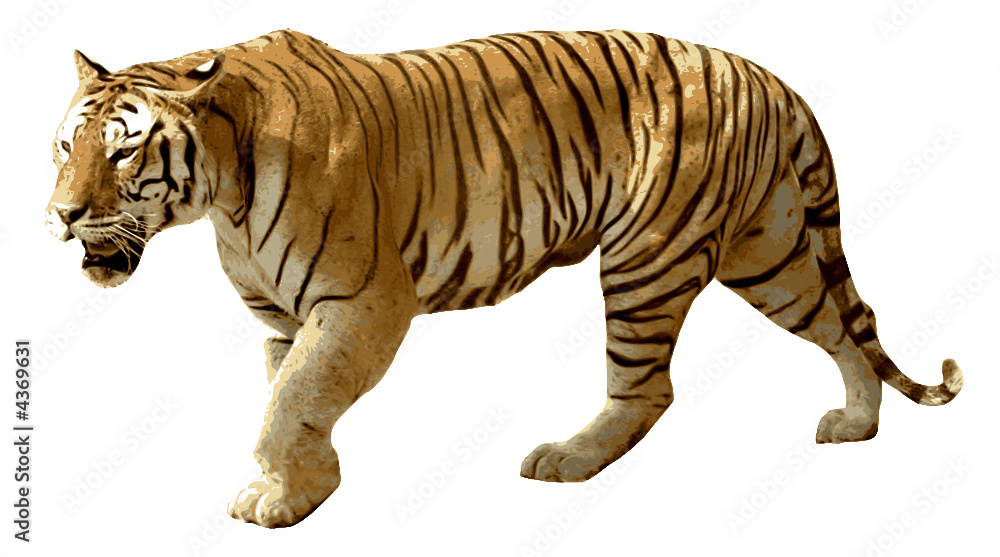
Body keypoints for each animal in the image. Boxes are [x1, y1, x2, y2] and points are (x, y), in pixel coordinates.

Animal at [45, 28, 963, 528]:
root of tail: (768, 77)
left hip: (648, 255)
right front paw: (302, 488)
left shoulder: (362, 301)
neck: (222, 191)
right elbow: (289, 400)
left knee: (648, 387)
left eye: (122, 151)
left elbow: (292, 400)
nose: (58, 214)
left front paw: (278, 500)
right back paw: (857, 422)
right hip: (766, 253)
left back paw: (567, 458)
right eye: (64, 145)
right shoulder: (284, 318)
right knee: (843, 322)